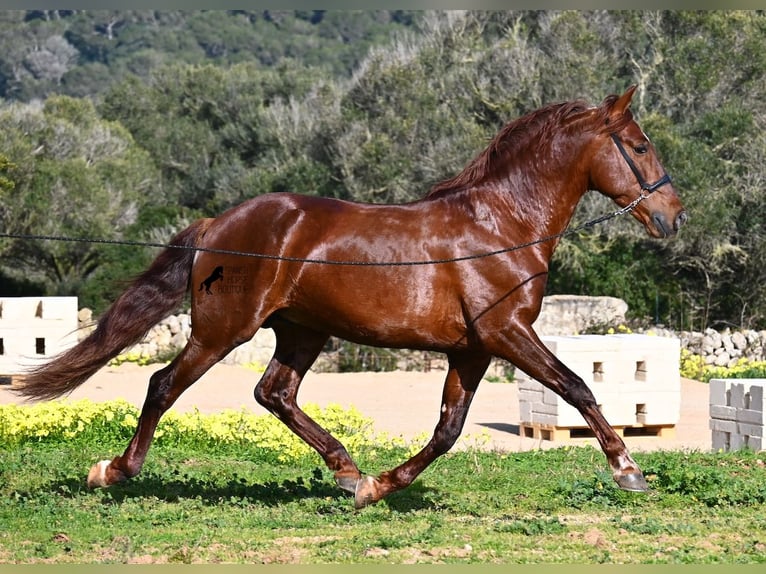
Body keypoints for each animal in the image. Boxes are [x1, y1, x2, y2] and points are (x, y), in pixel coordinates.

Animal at [16, 85, 688, 508]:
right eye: (641, 145)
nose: (672, 215)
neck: (501, 226)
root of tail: (218, 225)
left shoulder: (472, 350)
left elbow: (448, 428)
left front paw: (378, 487)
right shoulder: (507, 334)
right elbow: (577, 387)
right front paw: (629, 471)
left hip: (302, 331)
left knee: (274, 394)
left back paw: (345, 469)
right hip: (223, 330)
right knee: (164, 385)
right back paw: (113, 471)